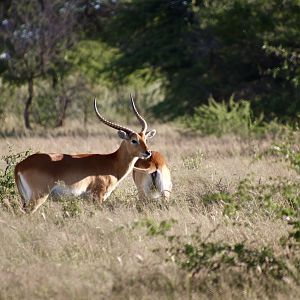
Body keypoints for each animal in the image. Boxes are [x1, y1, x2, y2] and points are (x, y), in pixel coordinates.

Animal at [13, 95, 156, 212]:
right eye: (134, 140)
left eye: (145, 139)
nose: (148, 152)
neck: (111, 162)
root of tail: (20, 165)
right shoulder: (98, 196)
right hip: (38, 197)